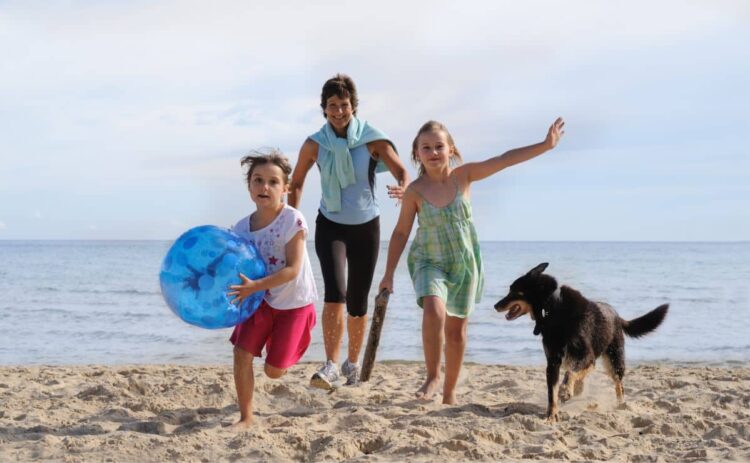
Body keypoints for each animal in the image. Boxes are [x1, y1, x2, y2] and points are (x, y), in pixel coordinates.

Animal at [496, 262, 668, 422]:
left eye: (513, 290)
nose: (495, 305)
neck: (552, 307)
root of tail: (618, 317)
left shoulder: (586, 355)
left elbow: (570, 373)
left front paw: (565, 390)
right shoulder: (552, 362)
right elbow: (552, 392)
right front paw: (552, 415)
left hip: (614, 360)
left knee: (618, 384)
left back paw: (620, 404)